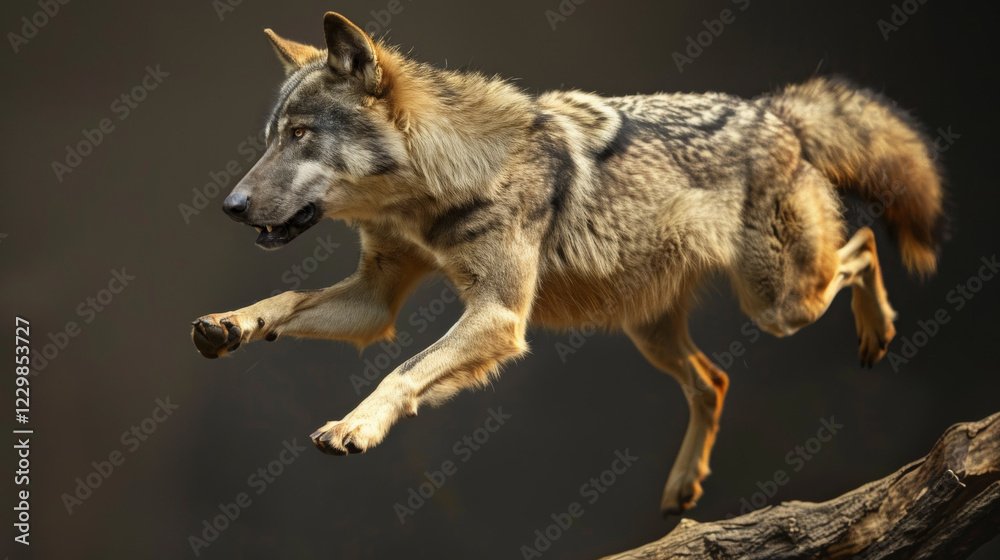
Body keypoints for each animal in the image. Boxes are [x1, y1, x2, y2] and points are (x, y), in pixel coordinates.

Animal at [190, 12, 945, 515]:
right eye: (270, 137)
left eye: (299, 135)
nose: (229, 205)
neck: (438, 183)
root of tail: (775, 110)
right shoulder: (377, 300)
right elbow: (286, 302)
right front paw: (230, 325)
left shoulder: (497, 316)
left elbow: (401, 372)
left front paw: (355, 427)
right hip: (654, 330)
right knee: (715, 380)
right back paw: (683, 488)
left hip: (779, 304)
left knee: (863, 246)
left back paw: (879, 331)